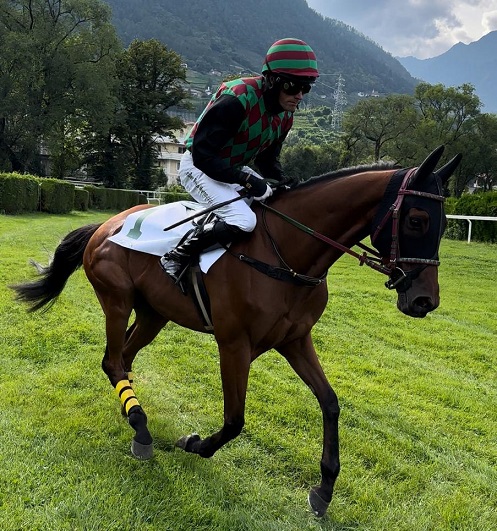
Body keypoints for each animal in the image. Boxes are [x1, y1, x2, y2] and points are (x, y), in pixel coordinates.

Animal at [11, 144, 462, 516]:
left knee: (121, 359)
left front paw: (324, 489)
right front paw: (195, 444)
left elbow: (331, 403)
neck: (286, 254)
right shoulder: (234, 344)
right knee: (112, 359)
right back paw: (140, 426)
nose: (425, 300)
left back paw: (133, 414)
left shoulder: (295, 340)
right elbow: (235, 420)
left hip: (155, 314)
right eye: (418, 219)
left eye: (443, 225)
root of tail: (105, 225)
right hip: (117, 300)